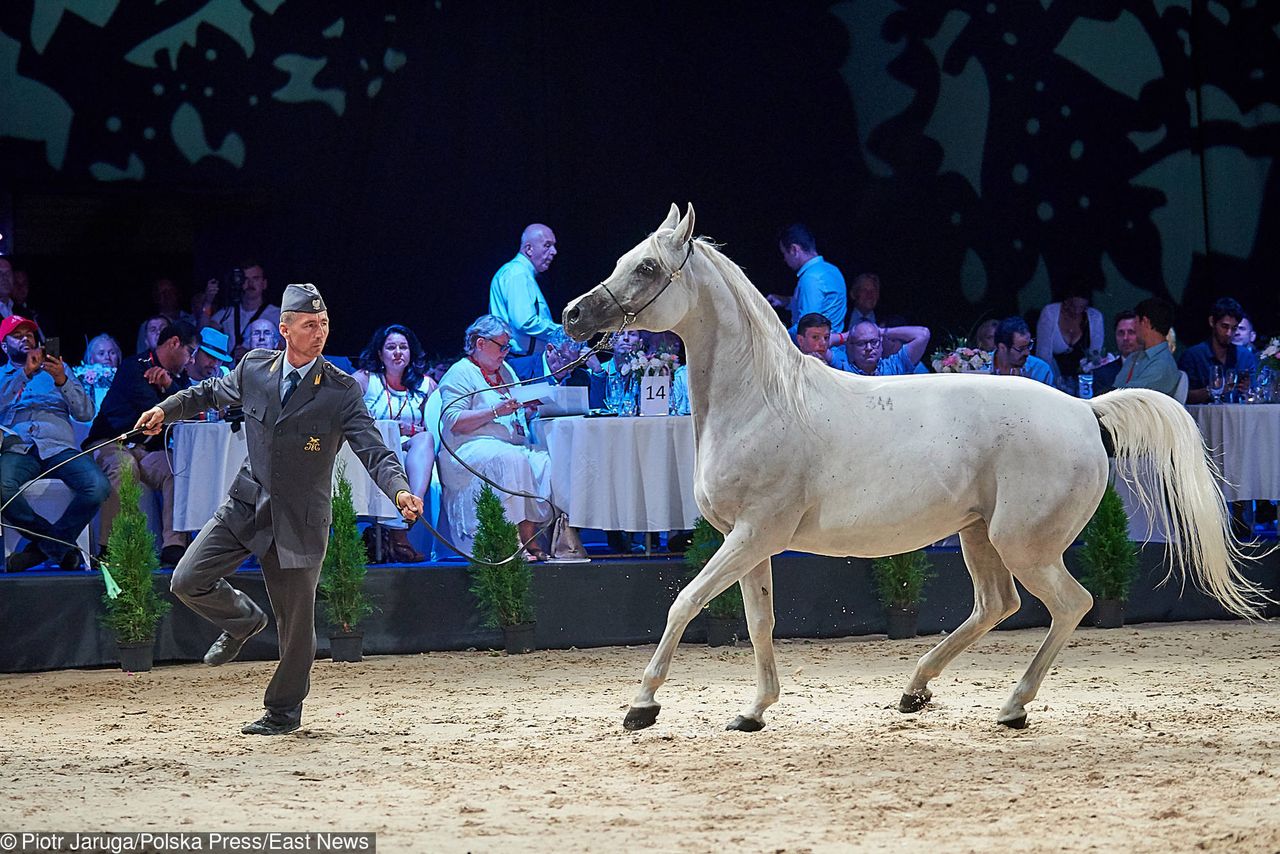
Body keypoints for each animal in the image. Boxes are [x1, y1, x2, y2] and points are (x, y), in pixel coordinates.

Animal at [565, 203, 1264, 732]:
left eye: (646, 266)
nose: (574, 315)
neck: (763, 401)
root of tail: (1084, 410)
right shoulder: (752, 541)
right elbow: (759, 621)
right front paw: (754, 712)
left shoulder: (753, 534)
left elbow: (684, 602)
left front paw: (642, 705)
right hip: (979, 535)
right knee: (996, 604)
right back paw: (915, 689)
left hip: (1024, 542)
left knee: (1072, 603)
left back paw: (1012, 707)